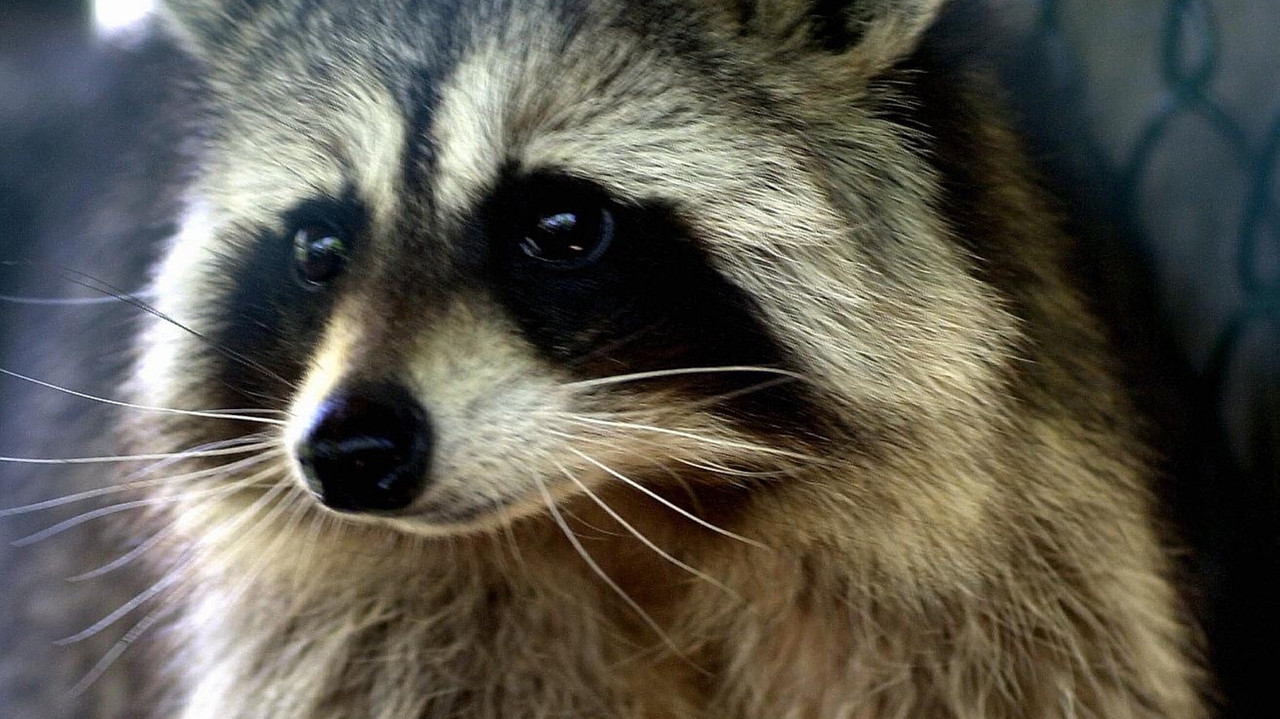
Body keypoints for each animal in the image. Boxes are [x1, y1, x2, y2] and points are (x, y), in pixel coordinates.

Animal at [0, 0, 1205, 717]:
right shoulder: (337, 620)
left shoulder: (988, 556)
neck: (623, 500)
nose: (348, 449)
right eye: (317, 245)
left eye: (562, 226)